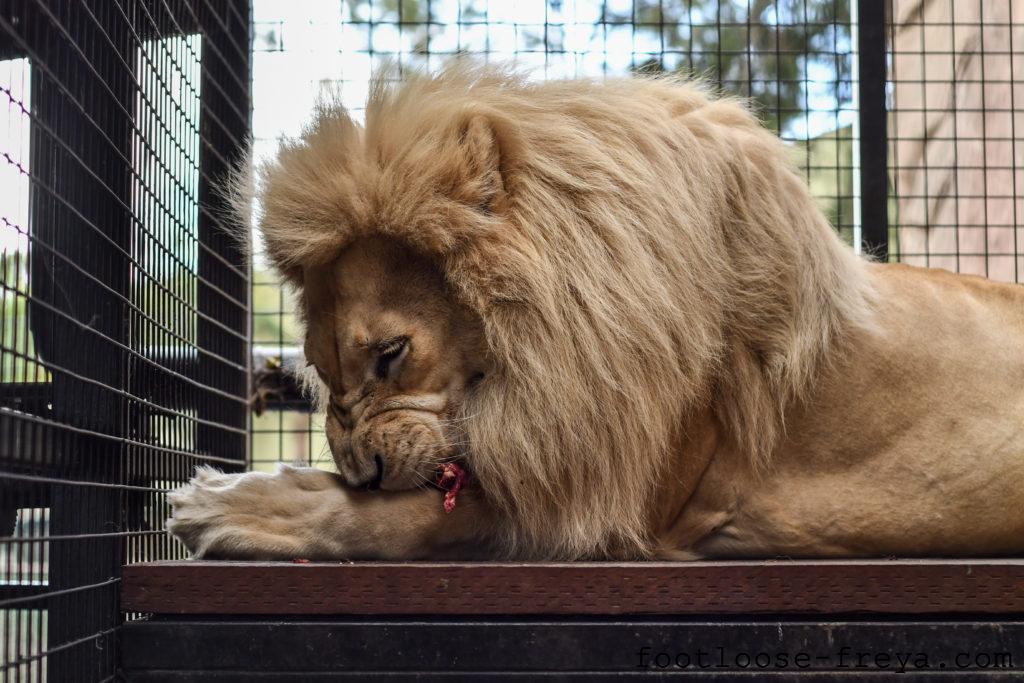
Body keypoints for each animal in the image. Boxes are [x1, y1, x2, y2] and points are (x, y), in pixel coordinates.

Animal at [167, 63, 1024, 561]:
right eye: (318, 367)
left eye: (390, 353)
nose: (365, 472)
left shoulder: (619, 493)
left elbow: (413, 518)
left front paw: (241, 504)